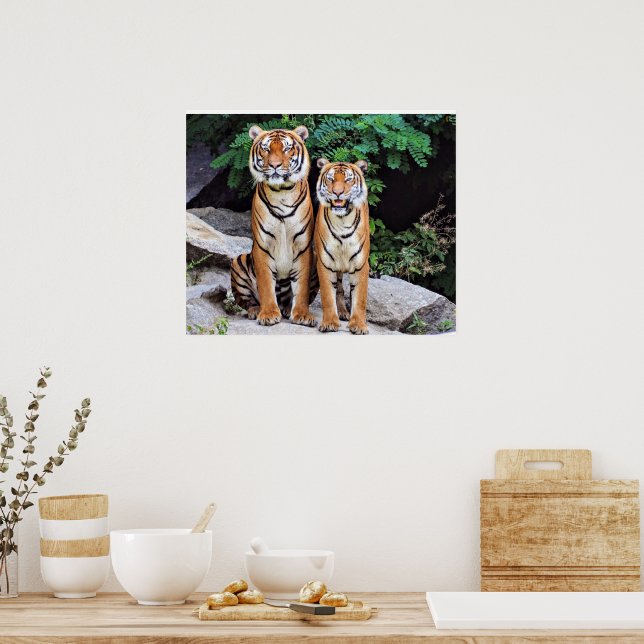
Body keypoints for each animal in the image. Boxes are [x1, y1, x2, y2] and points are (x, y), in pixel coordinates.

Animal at [230, 125, 318, 327]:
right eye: (266, 148)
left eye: (287, 148)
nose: (275, 165)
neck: (282, 192)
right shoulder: (263, 246)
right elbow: (265, 285)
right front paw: (268, 314)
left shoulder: (303, 247)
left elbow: (301, 287)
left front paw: (302, 315)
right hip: (238, 261)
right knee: (246, 301)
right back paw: (256, 310)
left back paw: (287, 309)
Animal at [314, 158, 370, 335]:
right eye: (331, 179)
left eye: (348, 179)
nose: (337, 193)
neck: (342, 221)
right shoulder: (325, 263)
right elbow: (327, 295)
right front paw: (330, 323)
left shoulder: (361, 265)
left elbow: (360, 298)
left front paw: (358, 325)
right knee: (338, 289)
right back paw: (342, 312)